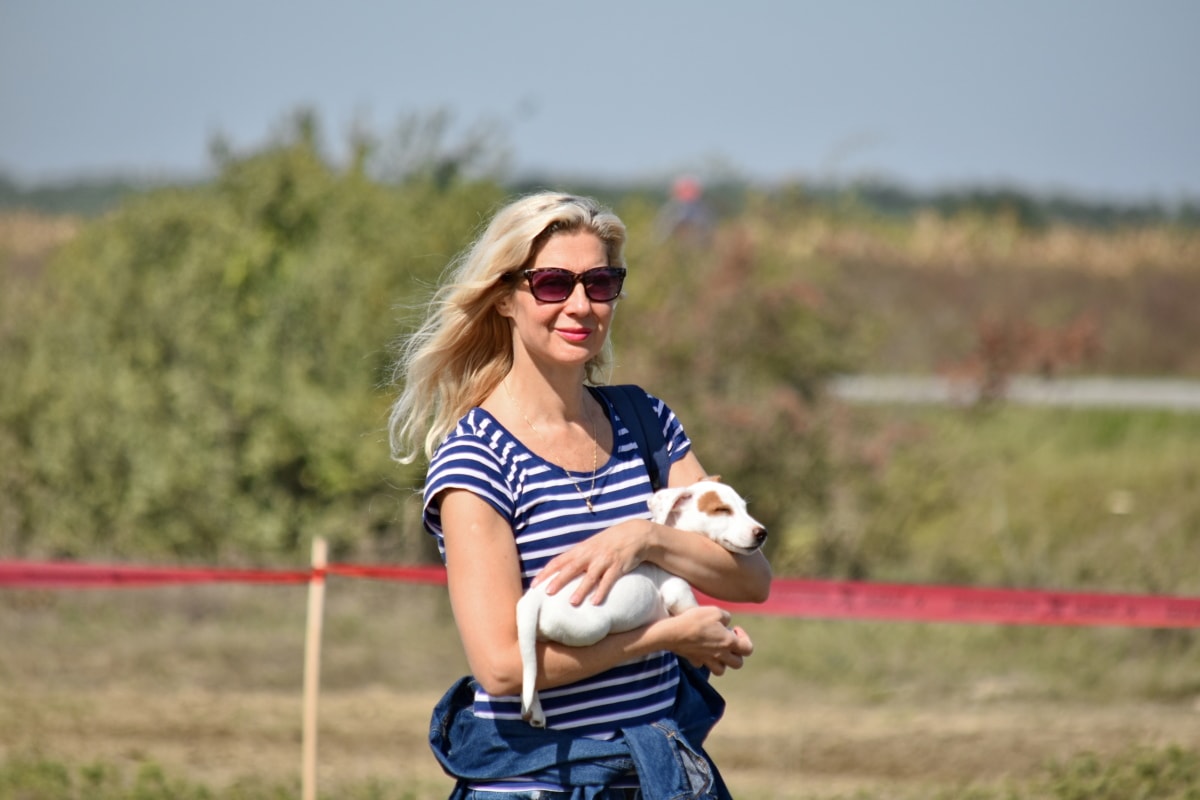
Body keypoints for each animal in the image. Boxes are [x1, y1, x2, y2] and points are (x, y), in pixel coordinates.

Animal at [518, 479, 768, 729]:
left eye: (744, 508)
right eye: (721, 510)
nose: (762, 533)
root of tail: (534, 597)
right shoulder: (678, 591)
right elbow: (694, 610)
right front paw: (724, 632)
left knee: (531, 666)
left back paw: (534, 710)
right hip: (590, 628)